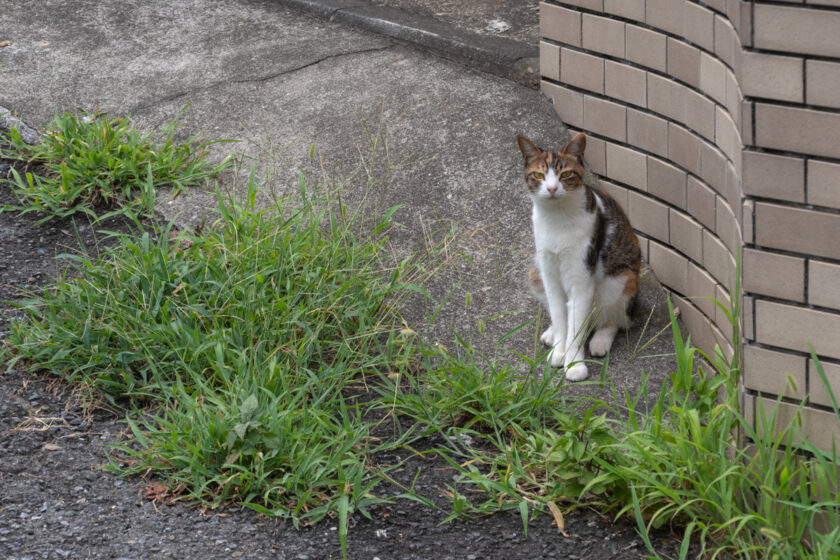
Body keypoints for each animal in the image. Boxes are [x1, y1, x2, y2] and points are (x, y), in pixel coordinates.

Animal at [516, 133, 640, 382]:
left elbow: (576, 326)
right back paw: (551, 334)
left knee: (615, 320)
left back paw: (600, 341)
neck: (557, 219)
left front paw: (574, 365)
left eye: (565, 175)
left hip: (621, 278)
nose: (552, 188)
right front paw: (559, 351)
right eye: (538, 175)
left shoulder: (581, 276)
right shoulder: (549, 273)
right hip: (535, 270)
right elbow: (560, 316)